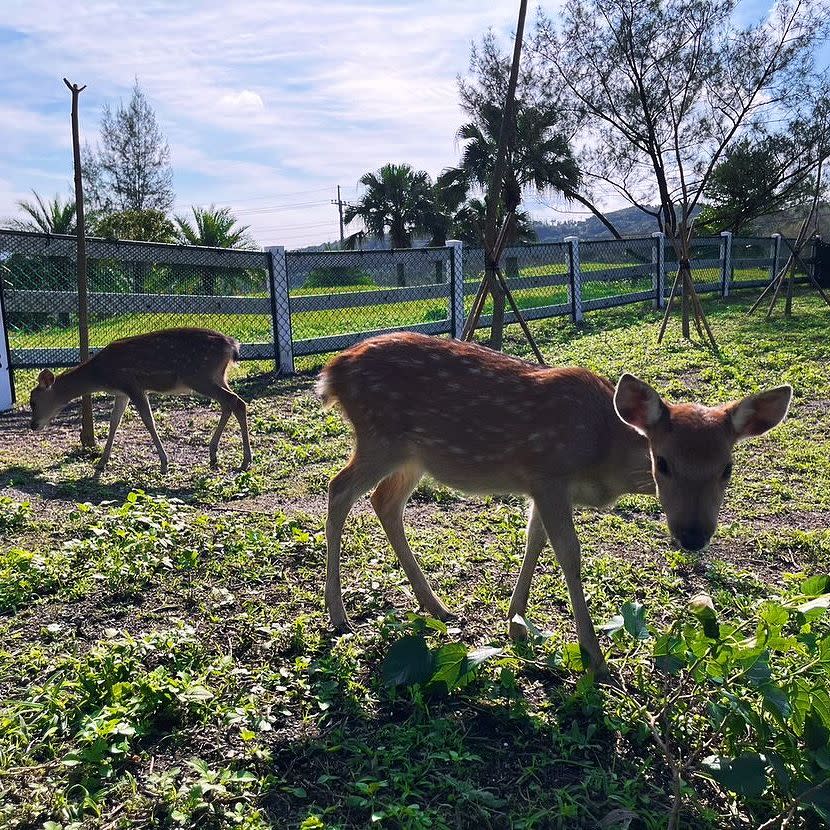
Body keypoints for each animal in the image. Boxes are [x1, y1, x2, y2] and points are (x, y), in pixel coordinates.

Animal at [28, 328, 254, 478]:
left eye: (33, 401)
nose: (33, 425)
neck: (102, 374)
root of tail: (233, 346)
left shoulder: (133, 385)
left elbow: (148, 421)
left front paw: (164, 463)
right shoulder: (122, 392)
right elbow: (114, 423)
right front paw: (101, 463)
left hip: (199, 376)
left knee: (235, 401)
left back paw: (244, 460)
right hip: (218, 376)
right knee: (231, 402)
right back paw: (215, 454)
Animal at [316, 330, 792, 676]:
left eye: (727, 468)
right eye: (663, 463)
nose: (693, 535)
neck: (601, 451)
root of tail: (331, 372)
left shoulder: (542, 487)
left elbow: (535, 539)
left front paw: (516, 622)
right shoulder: (547, 473)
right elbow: (568, 552)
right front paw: (595, 657)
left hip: (413, 455)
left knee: (384, 502)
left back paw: (436, 606)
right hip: (382, 437)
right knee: (339, 489)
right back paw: (338, 615)